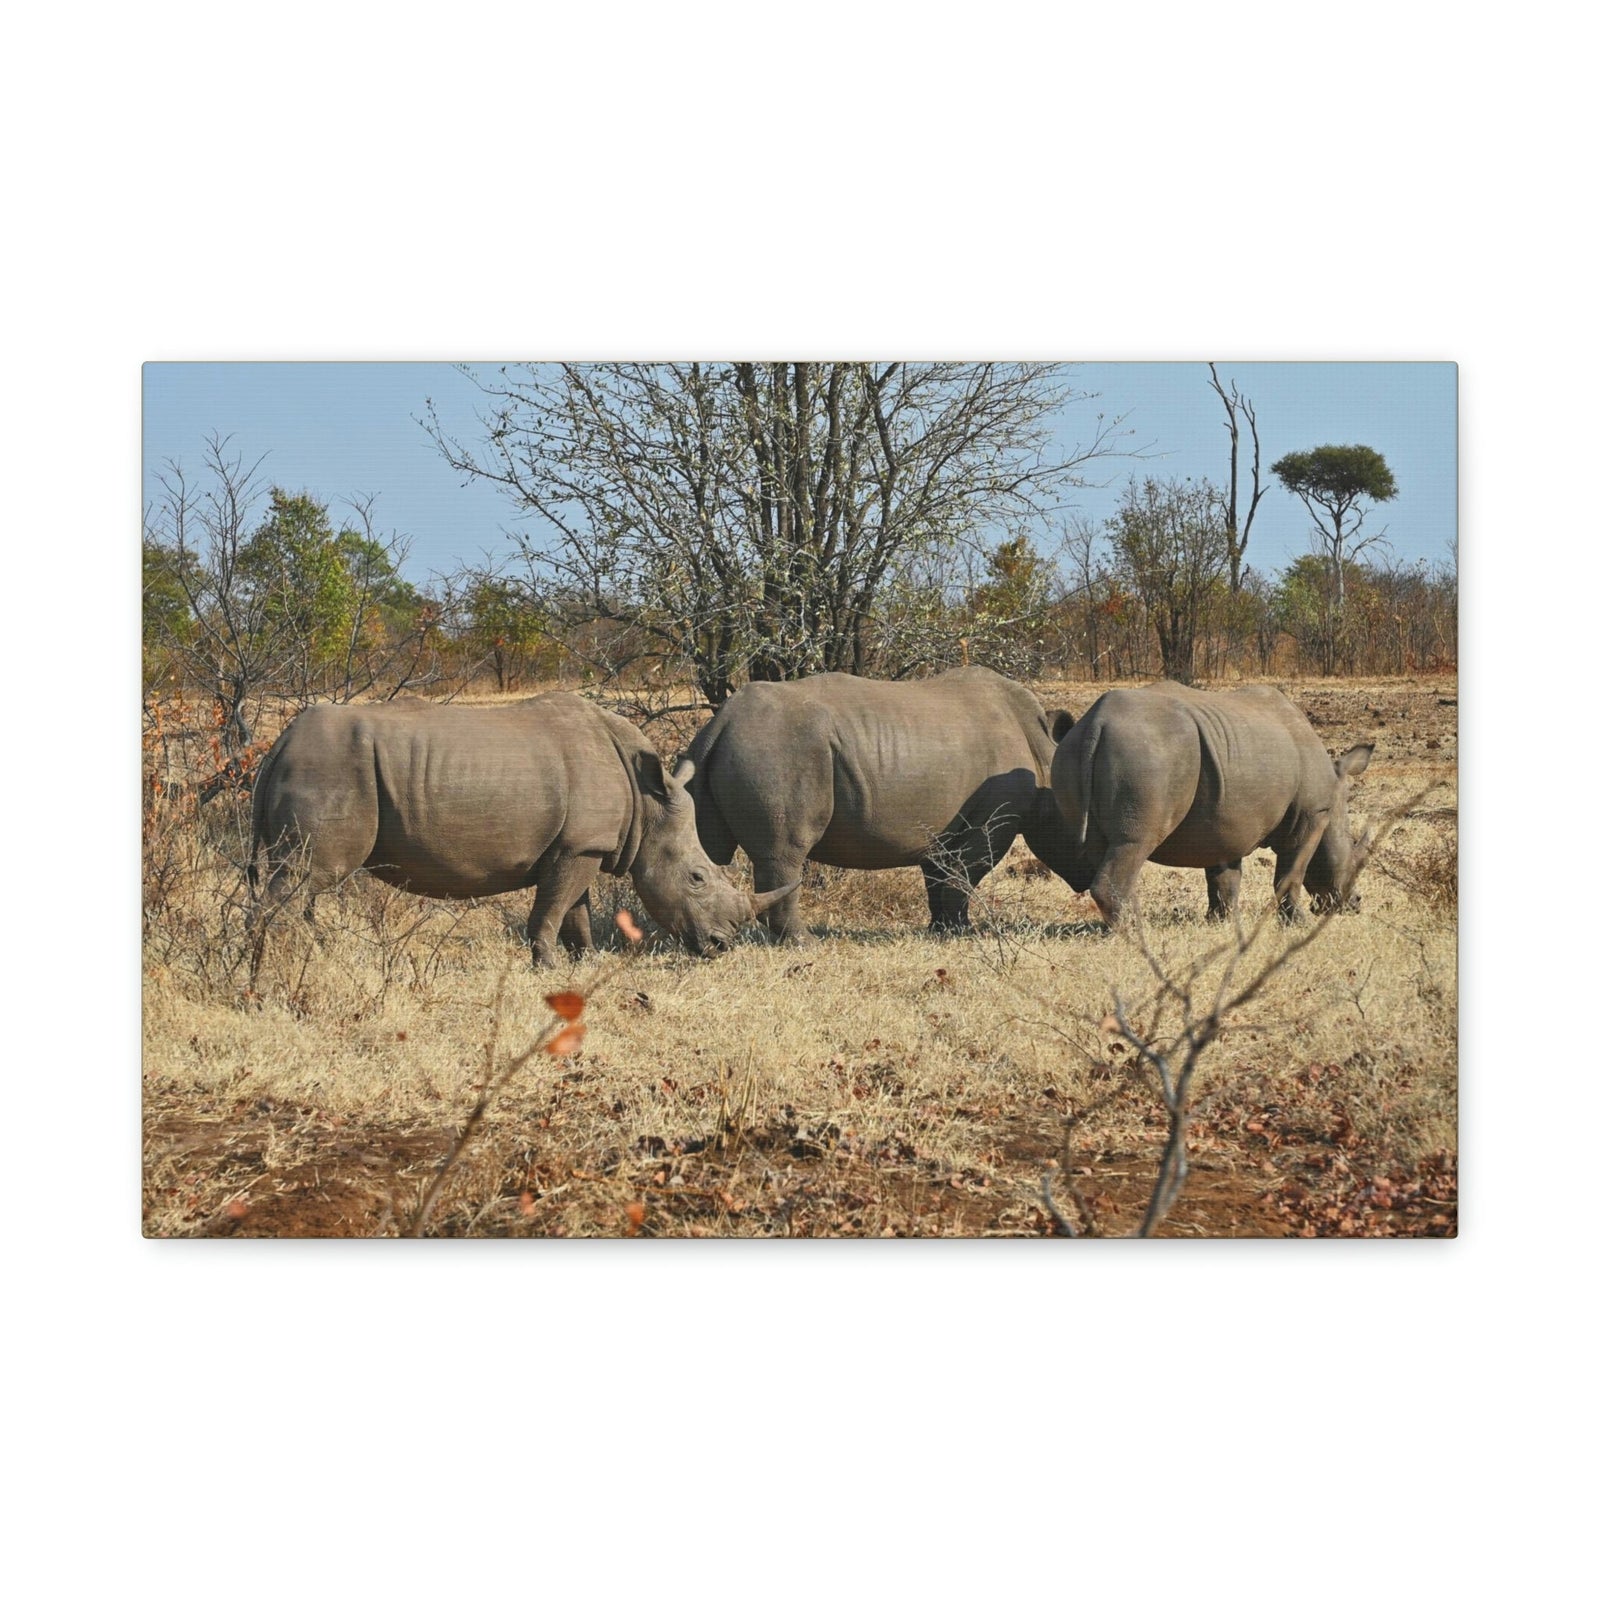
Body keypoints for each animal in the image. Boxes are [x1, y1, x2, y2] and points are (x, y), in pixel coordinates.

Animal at [249, 694, 790, 966]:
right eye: (697, 878)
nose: (721, 946)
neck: (647, 802)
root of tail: (279, 745)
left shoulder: (582, 845)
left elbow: (575, 910)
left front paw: (585, 963)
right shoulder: (580, 846)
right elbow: (552, 909)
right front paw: (547, 966)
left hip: (319, 767)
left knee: (303, 884)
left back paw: (312, 959)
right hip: (331, 770)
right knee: (306, 877)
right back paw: (282, 969)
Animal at [683, 667, 1078, 942]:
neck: (1044, 757)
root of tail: (721, 721)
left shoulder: (941, 828)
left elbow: (939, 876)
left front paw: (941, 930)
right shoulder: (995, 818)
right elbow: (967, 872)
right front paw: (962, 933)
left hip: (735, 750)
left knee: (710, 850)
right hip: (778, 750)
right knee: (784, 855)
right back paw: (804, 943)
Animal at [1048, 681, 1375, 927]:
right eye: (1354, 858)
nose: (1356, 903)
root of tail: (1096, 722)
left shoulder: (1226, 823)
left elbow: (1225, 878)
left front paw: (1223, 922)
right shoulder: (1312, 815)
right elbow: (1291, 873)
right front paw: (1298, 924)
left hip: (1071, 753)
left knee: (1103, 847)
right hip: (1145, 754)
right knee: (1134, 843)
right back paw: (1137, 933)